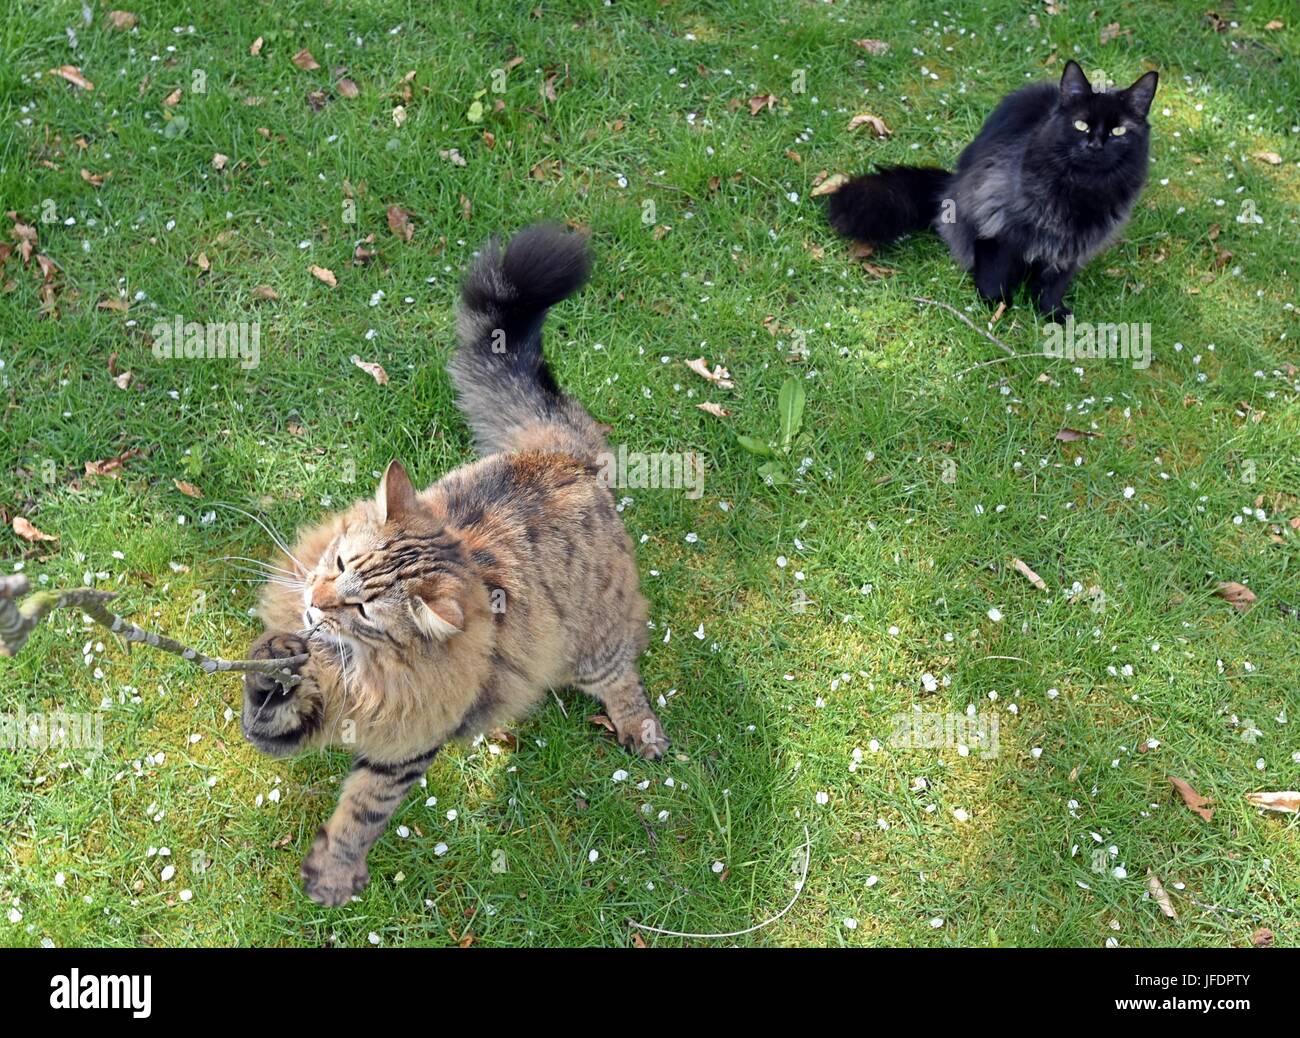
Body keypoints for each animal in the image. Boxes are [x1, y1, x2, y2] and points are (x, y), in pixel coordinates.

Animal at [243, 223, 665, 905]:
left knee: (622, 675)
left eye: (363, 610)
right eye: (337, 561)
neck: (362, 670)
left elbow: (363, 810)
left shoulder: (408, 743)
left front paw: (333, 874)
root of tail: (564, 456)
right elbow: (268, 710)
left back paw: (641, 730)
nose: (314, 603)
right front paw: (278, 658)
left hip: (593, 644)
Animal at [826, 61, 1154, 318]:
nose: (1095, 145)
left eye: (1118, 131)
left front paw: (1051, 314)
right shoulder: (996, 219)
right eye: (1081, 125)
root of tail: (947, 186)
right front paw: (997, 306)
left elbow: (1052, 286)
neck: (1080, 190)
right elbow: (993, 270)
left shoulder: (1073, 246)